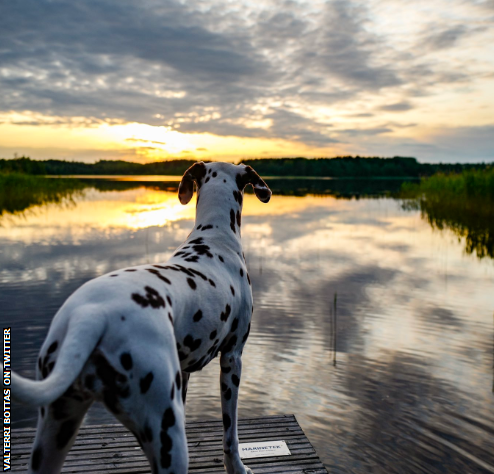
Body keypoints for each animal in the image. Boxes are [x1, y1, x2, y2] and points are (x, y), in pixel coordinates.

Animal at [11, 162, 272, 474]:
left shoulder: (184, 370)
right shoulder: (232, 359)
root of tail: (92, 315)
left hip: (56, 430)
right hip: (165, 431)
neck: (215, 234)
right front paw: (238, 468)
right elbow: (230, 434)